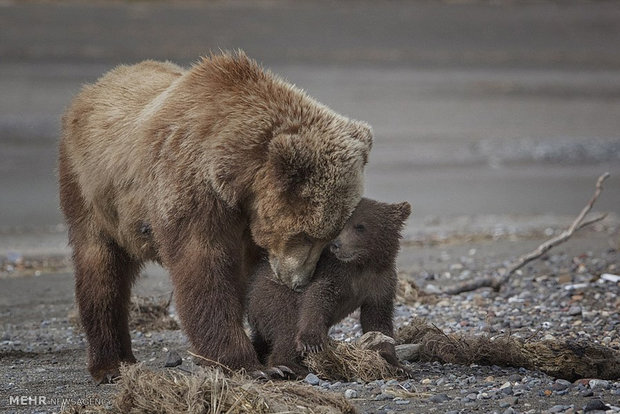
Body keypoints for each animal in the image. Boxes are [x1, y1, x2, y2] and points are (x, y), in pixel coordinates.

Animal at [60, 52, 372, 384]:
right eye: (306, 234)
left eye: (330, 236)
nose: (299, 282)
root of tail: (94, 86)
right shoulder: (191, 187)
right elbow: (203, 267)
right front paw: (251, 365)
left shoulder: (247, 221)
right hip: (90, 190)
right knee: (101, 268)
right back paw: (110, 364)